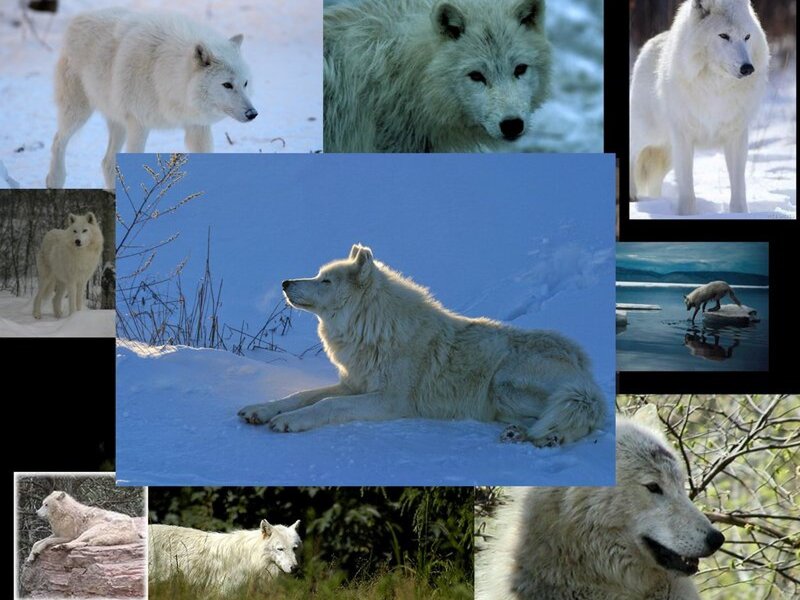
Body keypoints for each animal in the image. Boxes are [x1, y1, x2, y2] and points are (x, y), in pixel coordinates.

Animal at [46, 8, 257, 190]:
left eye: (245, 83)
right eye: (227, 85)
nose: (252, 113)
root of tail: (81, 16)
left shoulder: (197, 127)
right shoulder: (138, 125)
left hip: (118, 123)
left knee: (107, 163)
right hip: (78, 113)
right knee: (57, 141)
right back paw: (55, 180)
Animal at [239, 244, 605, 447]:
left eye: (325, 281)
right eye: (317, 276)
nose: (285, 282)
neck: (373, 329)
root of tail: (586, 373)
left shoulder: (389, 400)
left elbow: (326, 404)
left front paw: (290, 421)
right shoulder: (354, 385)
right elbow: (302, 395)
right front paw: (262, 409)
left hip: (503, 384)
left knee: (570, 422)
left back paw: (544, 437)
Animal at [629, 0, 769, 215]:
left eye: (747, 37)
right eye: (724, 36)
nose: (747, 68)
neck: (716, 89)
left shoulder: (736, 136)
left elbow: (738, 185)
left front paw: (739, 214)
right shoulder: (683, 136)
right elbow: (687, 184)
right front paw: (686, 214)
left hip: (666, 151)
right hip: (648, 134)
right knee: (632, 155)